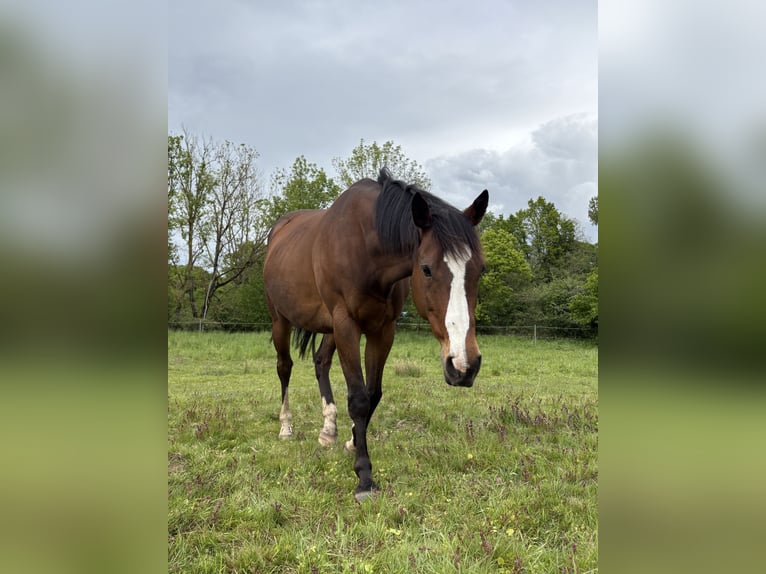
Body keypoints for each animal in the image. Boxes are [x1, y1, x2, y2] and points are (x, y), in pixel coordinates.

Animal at [263, 168, 488, 501]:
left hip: (329, 327)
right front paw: (364, 477)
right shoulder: (346, 324)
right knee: (284, 367)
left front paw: (352, 440)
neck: (366, 248)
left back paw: (328, 429)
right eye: (426, 268)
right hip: (281, 320)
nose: (464, 366)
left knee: (321, 362)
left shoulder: (382, 330)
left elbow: (373, 394)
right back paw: (286, 427)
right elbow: (358, 398)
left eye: (480, 269)